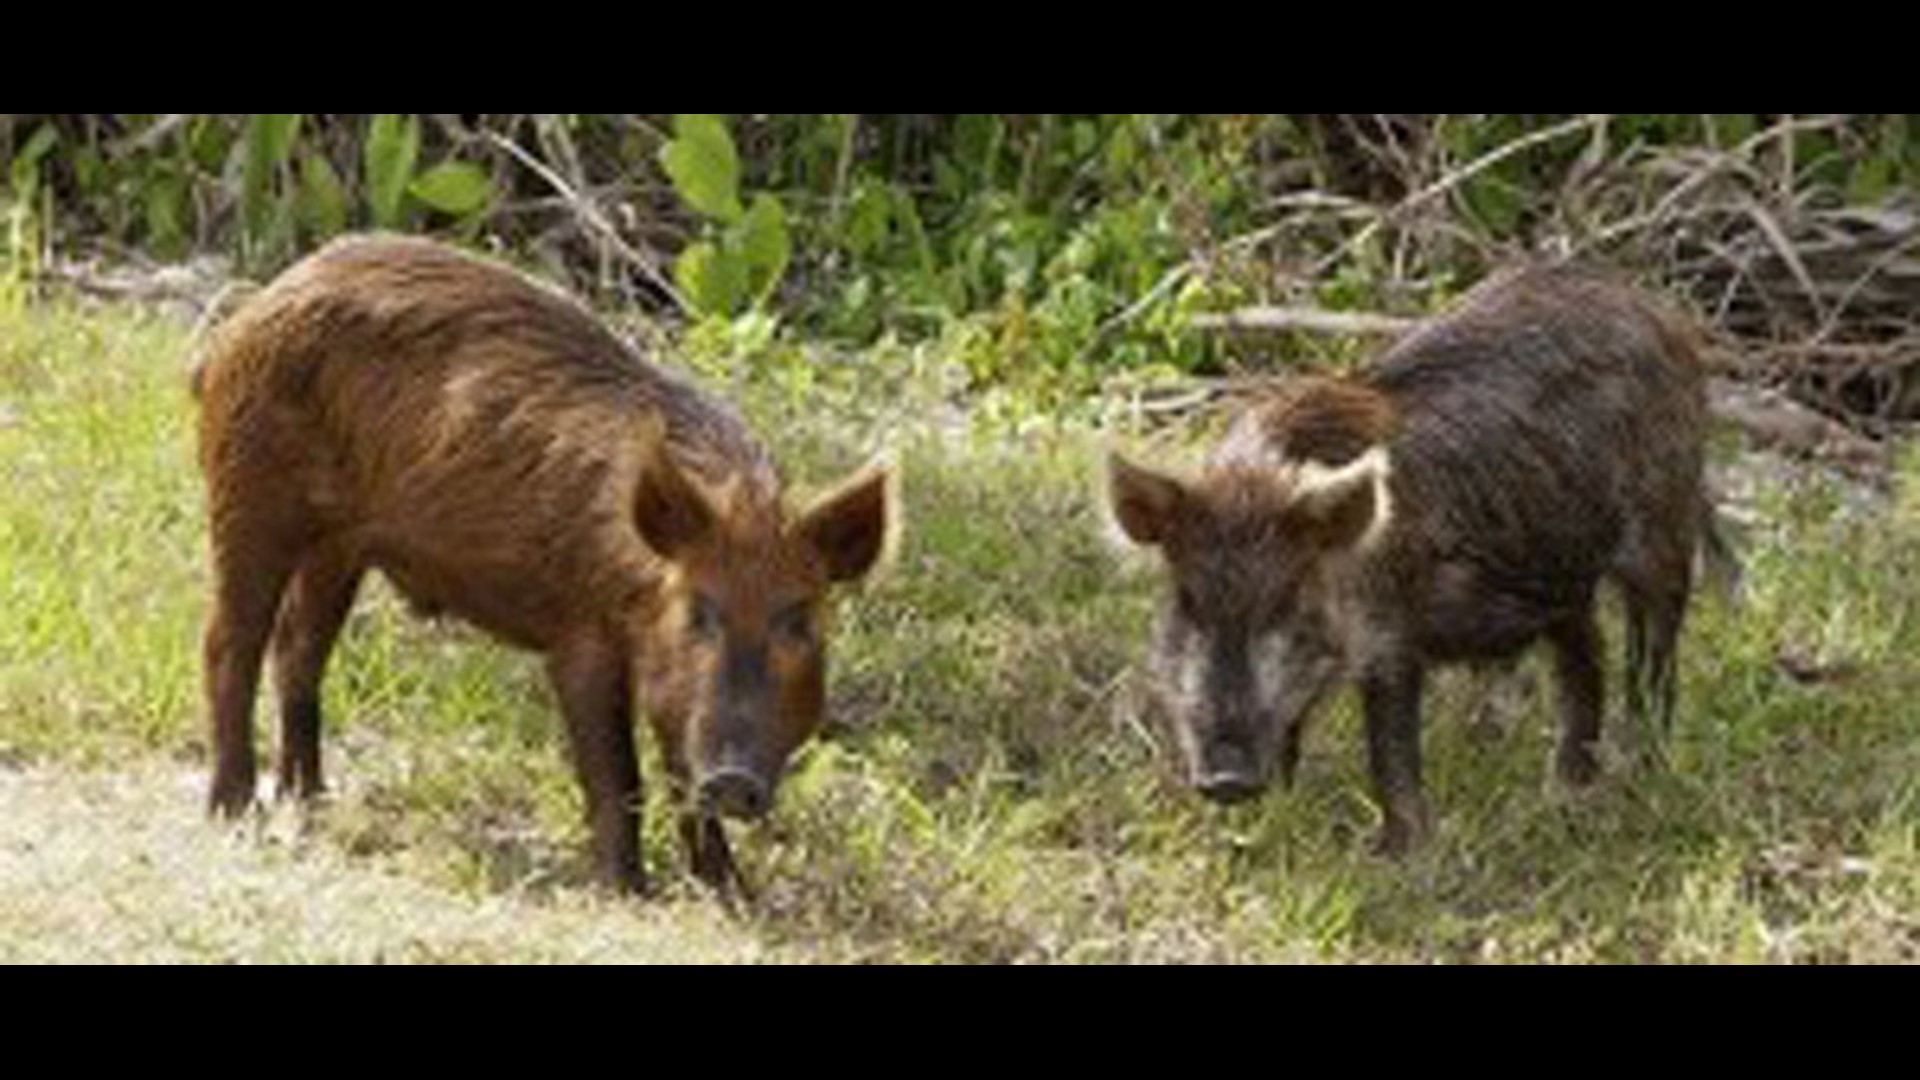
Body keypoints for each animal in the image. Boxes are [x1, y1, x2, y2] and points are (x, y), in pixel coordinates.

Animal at [194, 235, 894, 895]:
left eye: (799, 620)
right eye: (697, 611)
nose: (732, 779)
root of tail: (249, 313)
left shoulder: (670, 685)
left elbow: (676, 767)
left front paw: (732, 895)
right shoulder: (579, 636)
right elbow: (617, 773)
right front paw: (627, 892)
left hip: (339, 546)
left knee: (299, 648)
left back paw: (311, 797)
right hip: (249, 495)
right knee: (231, 642)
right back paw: (234, 809)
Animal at [1109, 265, 1707, 854]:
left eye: (1288, 600)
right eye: (1187, 601)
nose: (1226, 779)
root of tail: (1660, 313)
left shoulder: (1391, 635)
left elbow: (1390, 745)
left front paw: (1395, 854)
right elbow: (1292, 733)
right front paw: (1258, 829)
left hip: (1663, 528)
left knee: (1652, 659)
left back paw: (1639, 776)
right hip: (1560, 578)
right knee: (1587, 655)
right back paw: (1566, 791)